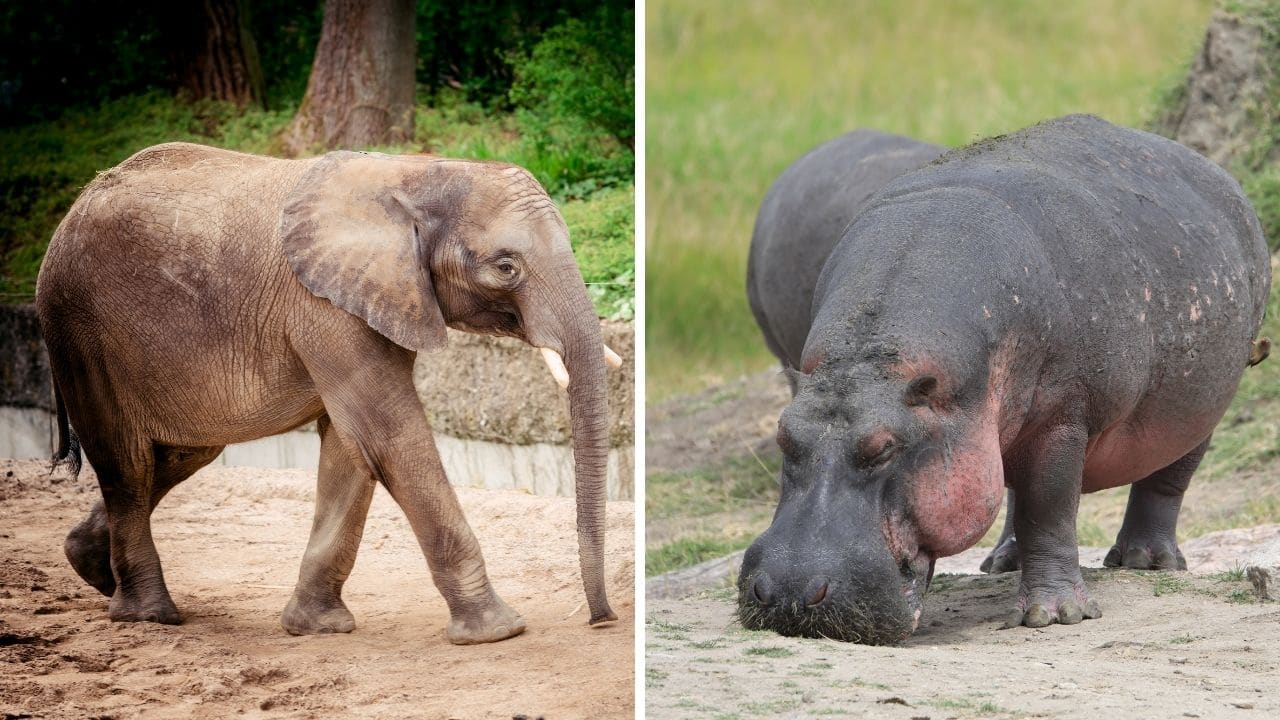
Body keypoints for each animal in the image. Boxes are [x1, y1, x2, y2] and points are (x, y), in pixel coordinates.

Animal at [35, 141, 622, 644]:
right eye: (505, 266)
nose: (603, 620)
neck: (415, 172)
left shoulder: (376, 298)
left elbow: (352, 445)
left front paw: (317, 627)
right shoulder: (325, 306)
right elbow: (389, 435)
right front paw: (498, 631)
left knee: (179, 454)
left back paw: (92, 570)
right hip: (77, 327)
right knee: (127, 461)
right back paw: (150, 616)